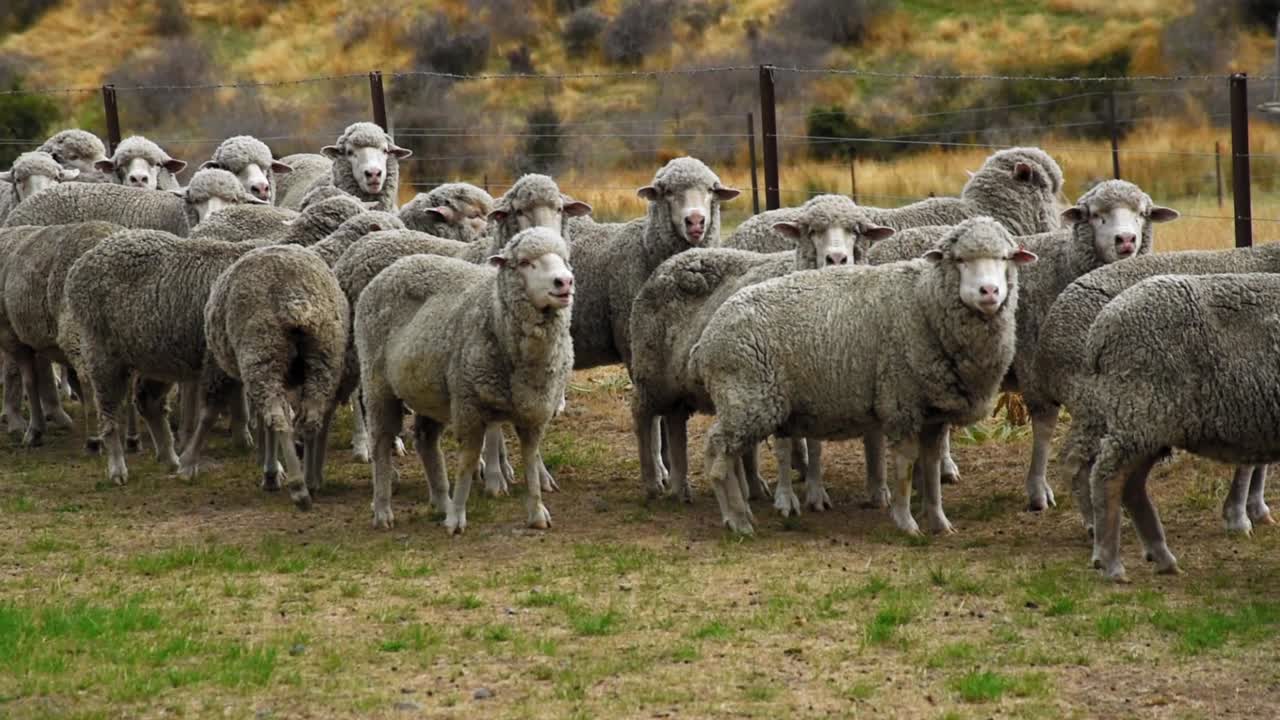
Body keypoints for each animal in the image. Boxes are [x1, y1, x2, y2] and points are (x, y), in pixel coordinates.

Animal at [201, 245, 348, 508]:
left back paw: (297, 489)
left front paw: (271, 472)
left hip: (262, 354)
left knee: (278, 418)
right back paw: (310, 482)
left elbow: (265, 421)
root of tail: (294, 300)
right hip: (324, 356)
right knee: (311, 418)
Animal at [354, 227, 575, 532]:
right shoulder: (469, 405)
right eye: (524, 263)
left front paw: (537, 512)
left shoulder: (534, 410)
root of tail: (396, 266)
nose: (564, 282)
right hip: (378, 384)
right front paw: (457, 518)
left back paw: (441, 502)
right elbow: (468, 461)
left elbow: (530, 459)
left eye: (564, 259)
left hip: (429, 389)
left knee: (425, 440)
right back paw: (383, 510)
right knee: (381, 442)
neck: (494, 316)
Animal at [628, 194, 893, 510]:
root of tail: (670, 262)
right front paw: (808, 494)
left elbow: (869, 437)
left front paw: (878, 491)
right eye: (811, 231)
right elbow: (803, 445)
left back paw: (682, 488)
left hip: (678, 384)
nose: (837, 259)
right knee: (643, 416)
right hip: (651, 370)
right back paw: (653, 482)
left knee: (675, 422)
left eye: (857, 231)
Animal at [691, 218, 1035, 535]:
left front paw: (939, 522)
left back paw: (739, 514)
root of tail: (706, 339)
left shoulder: (934, 415)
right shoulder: (901, 403)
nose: (989, 291)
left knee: (727, 454)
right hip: (748, 397)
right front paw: (906, 523)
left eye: (1005, 258)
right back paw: (737, 520)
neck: (925, 304)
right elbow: (904, 467)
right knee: (717, 452)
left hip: (741, 401)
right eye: (960, 260)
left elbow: (931, 467)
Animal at [1037, 244, 1280, 537]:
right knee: (1077, 460)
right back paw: (1094, 521)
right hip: (1104, 404)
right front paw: (1239, 517)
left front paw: (1254, 511)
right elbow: (1249, 464)